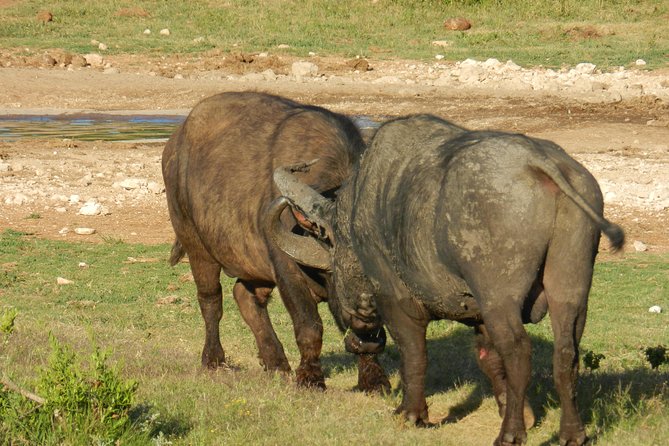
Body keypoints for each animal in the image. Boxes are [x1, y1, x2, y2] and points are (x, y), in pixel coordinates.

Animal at [161, 92, 388, 392]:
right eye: (339, 274)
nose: (367, 310)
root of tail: (174, 144)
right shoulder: (287, 270)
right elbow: (309, 326)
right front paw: (310, 378)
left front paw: (374, 379)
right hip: (196, 244)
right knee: (211, 301)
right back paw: (214, 359)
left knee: (245, 297)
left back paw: (275, 362)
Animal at [268, 115, 624, 446]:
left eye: (333, 246)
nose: (358, 330)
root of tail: (541, 162)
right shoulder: (479, 317)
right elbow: (489, 361)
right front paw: (521, 411)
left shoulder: (397, 300)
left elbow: (414, 354)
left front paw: (411, 413)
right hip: (570, 286)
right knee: (566, 353)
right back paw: (572, 433)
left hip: (499, 298)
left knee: (519, 352)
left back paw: (510, 434)